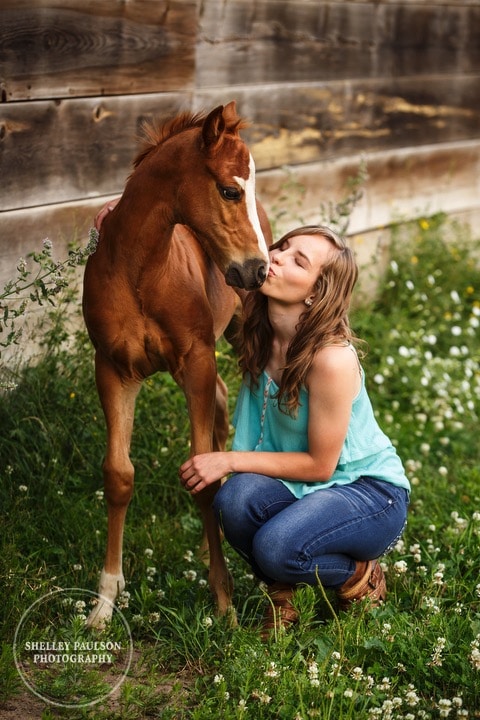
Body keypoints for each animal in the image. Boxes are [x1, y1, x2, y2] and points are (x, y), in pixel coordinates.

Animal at [84, 102, 272, 632]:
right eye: (229, 190)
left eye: (247, 189)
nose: (259, 270)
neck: (140, 271)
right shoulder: (114, 370)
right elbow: (118, 475)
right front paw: (104, 603)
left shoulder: (197, 361)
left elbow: (203, 478)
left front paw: (225, 604)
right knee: (224, 404)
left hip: (239, 335)